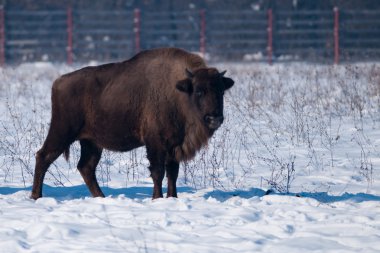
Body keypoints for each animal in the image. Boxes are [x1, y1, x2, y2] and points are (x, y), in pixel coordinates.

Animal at [31, 47, 235, 200]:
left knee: (86, 167)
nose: (215, 118)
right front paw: (157, 198)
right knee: (43, 156)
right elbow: (158, 172)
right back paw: (36, 196)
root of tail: (58, 82)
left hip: (91, 142)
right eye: (199, 91)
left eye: (221, 91)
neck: (179, 91)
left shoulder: (174, 146)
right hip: (62, 132)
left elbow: (172, 173)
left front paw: (173, 197)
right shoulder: (156, 144)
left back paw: (101, 197)